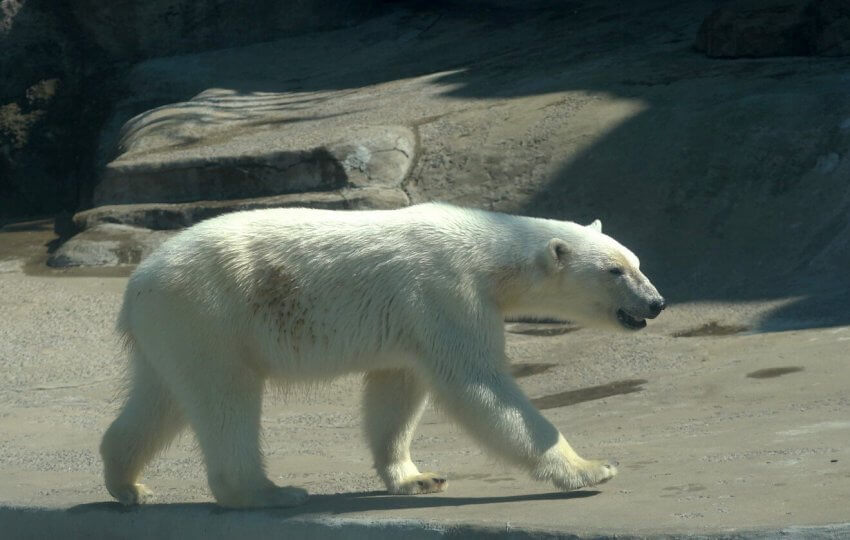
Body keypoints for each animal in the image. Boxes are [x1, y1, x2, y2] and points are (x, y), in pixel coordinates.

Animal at [99, 201, 664, 506]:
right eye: (614, 270)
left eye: (637, 261)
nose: (656, 303)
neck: (487, 247)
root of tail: (137, 281)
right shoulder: (447, 291)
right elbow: (478, 385)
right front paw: (592, 468)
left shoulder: (413, 319)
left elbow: (397, 390)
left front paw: (416, 477)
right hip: (209, 312)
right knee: (225, 398)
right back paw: (269, 491)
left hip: (170, 328)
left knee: (161, 399)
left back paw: (128, 483)